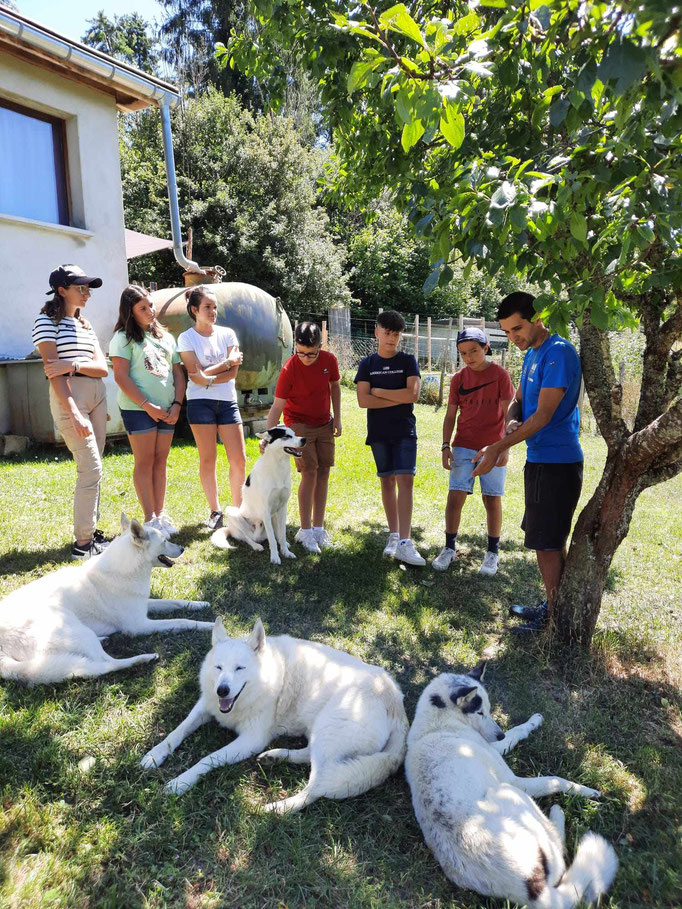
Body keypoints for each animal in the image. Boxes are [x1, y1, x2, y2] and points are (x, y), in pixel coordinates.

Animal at [0, 516, 212, 684]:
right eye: (165, 541)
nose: (182, 548)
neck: (126, 567)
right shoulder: (139, 626)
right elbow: (181, 621)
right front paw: (207, 625)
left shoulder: (144, 604)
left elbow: (175, 601)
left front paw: (200, 604)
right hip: (70, 626)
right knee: (106, 664)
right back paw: (143, 658)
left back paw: (105, 639)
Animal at [137, 612, 404, 812]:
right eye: (219, 667)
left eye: (240, 668)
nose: (222, 690)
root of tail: (398, 705)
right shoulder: (205, 706)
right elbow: (177, 731)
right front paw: (154, 754)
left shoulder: (250, 740)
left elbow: (208, 758)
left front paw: (181, 782)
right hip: (321, 732)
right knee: (309, 757)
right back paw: (275, 757)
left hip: (328, 730)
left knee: (317, 786)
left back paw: (276, 809)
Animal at [210, 424, 306, 564]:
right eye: (286, 436)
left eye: (295, 434)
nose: (304, 439)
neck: (278, 465)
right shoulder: (265, 510)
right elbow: (272, 539)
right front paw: (275, 557)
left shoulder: (283, 508)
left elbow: (282, 535)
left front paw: (286, 552)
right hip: (232, 512)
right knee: (248, 537)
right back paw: (256, 545)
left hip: (273, 517)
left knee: (275, 534)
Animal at [404, 660, 616, 908]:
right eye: (480, 712)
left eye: (489, 709)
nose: (499, 735)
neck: (438, 723)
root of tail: (536, 892)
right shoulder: (513, 779)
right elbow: (555, 779)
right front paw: (587, 791)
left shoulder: (497, 747)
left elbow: (516, 731)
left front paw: (533, 721)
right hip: (509, 792)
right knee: (559, 850)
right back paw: (558, 813)